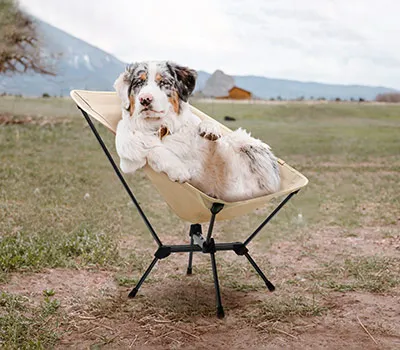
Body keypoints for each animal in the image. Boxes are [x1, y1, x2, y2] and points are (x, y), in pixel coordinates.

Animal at [114, 61, 280, 201]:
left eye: (164, 83)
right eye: (138, 83)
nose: (145, 99)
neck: (161, 128)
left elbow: (205, 126)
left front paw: (209, 128)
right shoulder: (128, 160)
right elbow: (153, 150)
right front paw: (178, 169)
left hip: (244, 143)